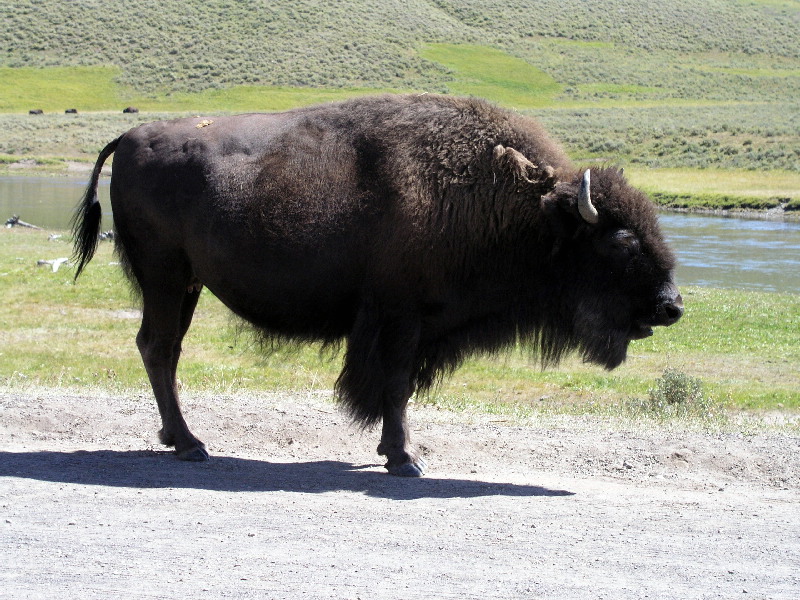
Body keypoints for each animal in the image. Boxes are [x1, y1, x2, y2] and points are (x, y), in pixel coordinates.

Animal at [72, 94, 683, 477]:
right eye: (622, 242)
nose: (672, 306)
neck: (528, 212)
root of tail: (130, 136)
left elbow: (399, 388)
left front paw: (397, 452)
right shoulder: (402, 320)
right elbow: (395, 386)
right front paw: (404, 459)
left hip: (187, 285)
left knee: (165, 349)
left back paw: (181, 441)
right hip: (165, 277)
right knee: (158, 347)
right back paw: (192, 446)